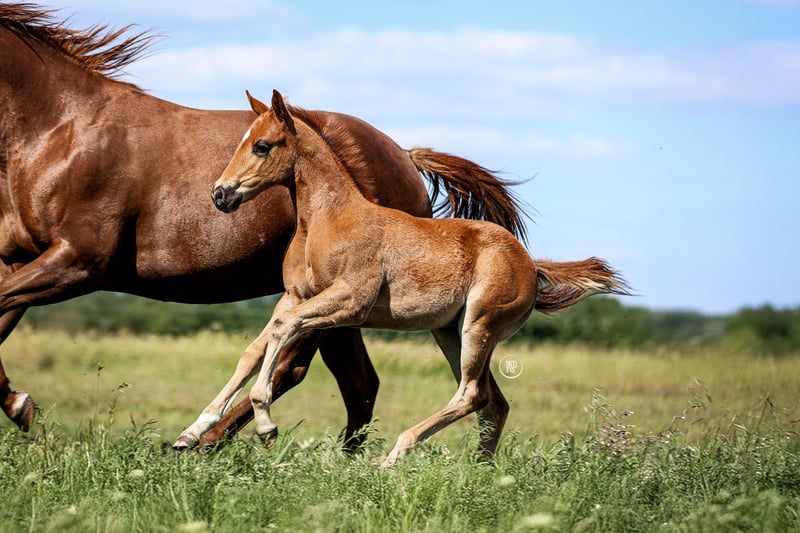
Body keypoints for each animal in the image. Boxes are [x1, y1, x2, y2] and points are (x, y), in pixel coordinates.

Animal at [0, 4, 526, 450]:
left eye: (260, 146)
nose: (219, 195)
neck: (60, 129)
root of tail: (405, 155)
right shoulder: (21, 259)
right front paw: (20, 405)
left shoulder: (78, 262)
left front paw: (21, 406)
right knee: (360, 384)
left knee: (304, 369)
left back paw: (213, 442)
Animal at [204, 90, 630, 465]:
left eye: (262, 146)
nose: (220, 194)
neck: (328, 221)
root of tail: (530, 264)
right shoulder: (294, 295)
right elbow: (254, 349)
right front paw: (200, 425)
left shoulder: (349, 303)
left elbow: (282, 329)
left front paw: (265, 424)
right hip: (450, 332)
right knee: (493, 403)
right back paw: (479, 472)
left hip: (479, 327)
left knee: (471, 395)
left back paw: (396, 455)